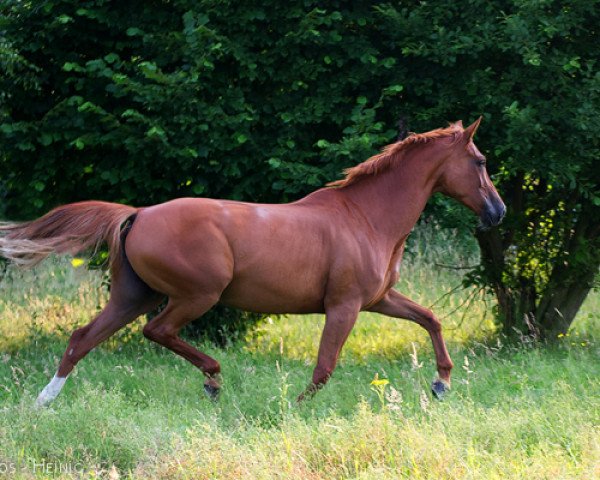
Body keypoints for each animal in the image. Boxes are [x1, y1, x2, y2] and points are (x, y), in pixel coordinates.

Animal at [0, 119, 504, 404]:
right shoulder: (344, 306)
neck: (365, 217)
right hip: (196, 294)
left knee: (82, 339)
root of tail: (138, 214)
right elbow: (324, 367)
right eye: (479, 161)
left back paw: (44, 401)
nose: (497, 212)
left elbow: (431, 319)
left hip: (132, 296)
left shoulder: (379, 299)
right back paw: (213, 380)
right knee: (156, 331)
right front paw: (295, 408)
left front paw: (441, 384)